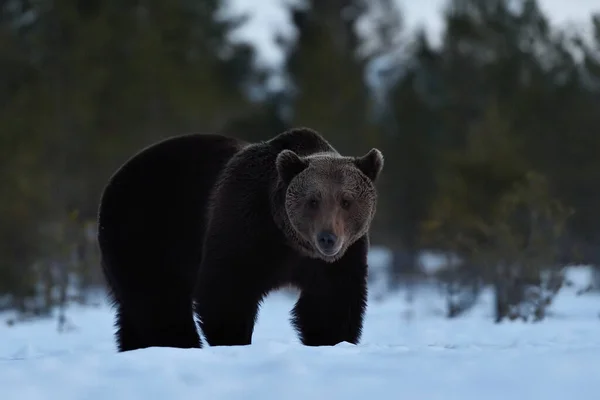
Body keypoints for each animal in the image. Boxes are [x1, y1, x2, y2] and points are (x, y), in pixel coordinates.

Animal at [96, 127, 382, 350]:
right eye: (313, 201)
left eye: (346, 201)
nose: (327, 239)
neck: (290, 241)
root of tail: (116, 176)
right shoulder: (244, 224)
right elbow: (226, 290)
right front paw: (233, 339)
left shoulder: (342, 256)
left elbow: (331, 303)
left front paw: (331, 340)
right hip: (145, 231)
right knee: (159, 299)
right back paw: (180, 342)